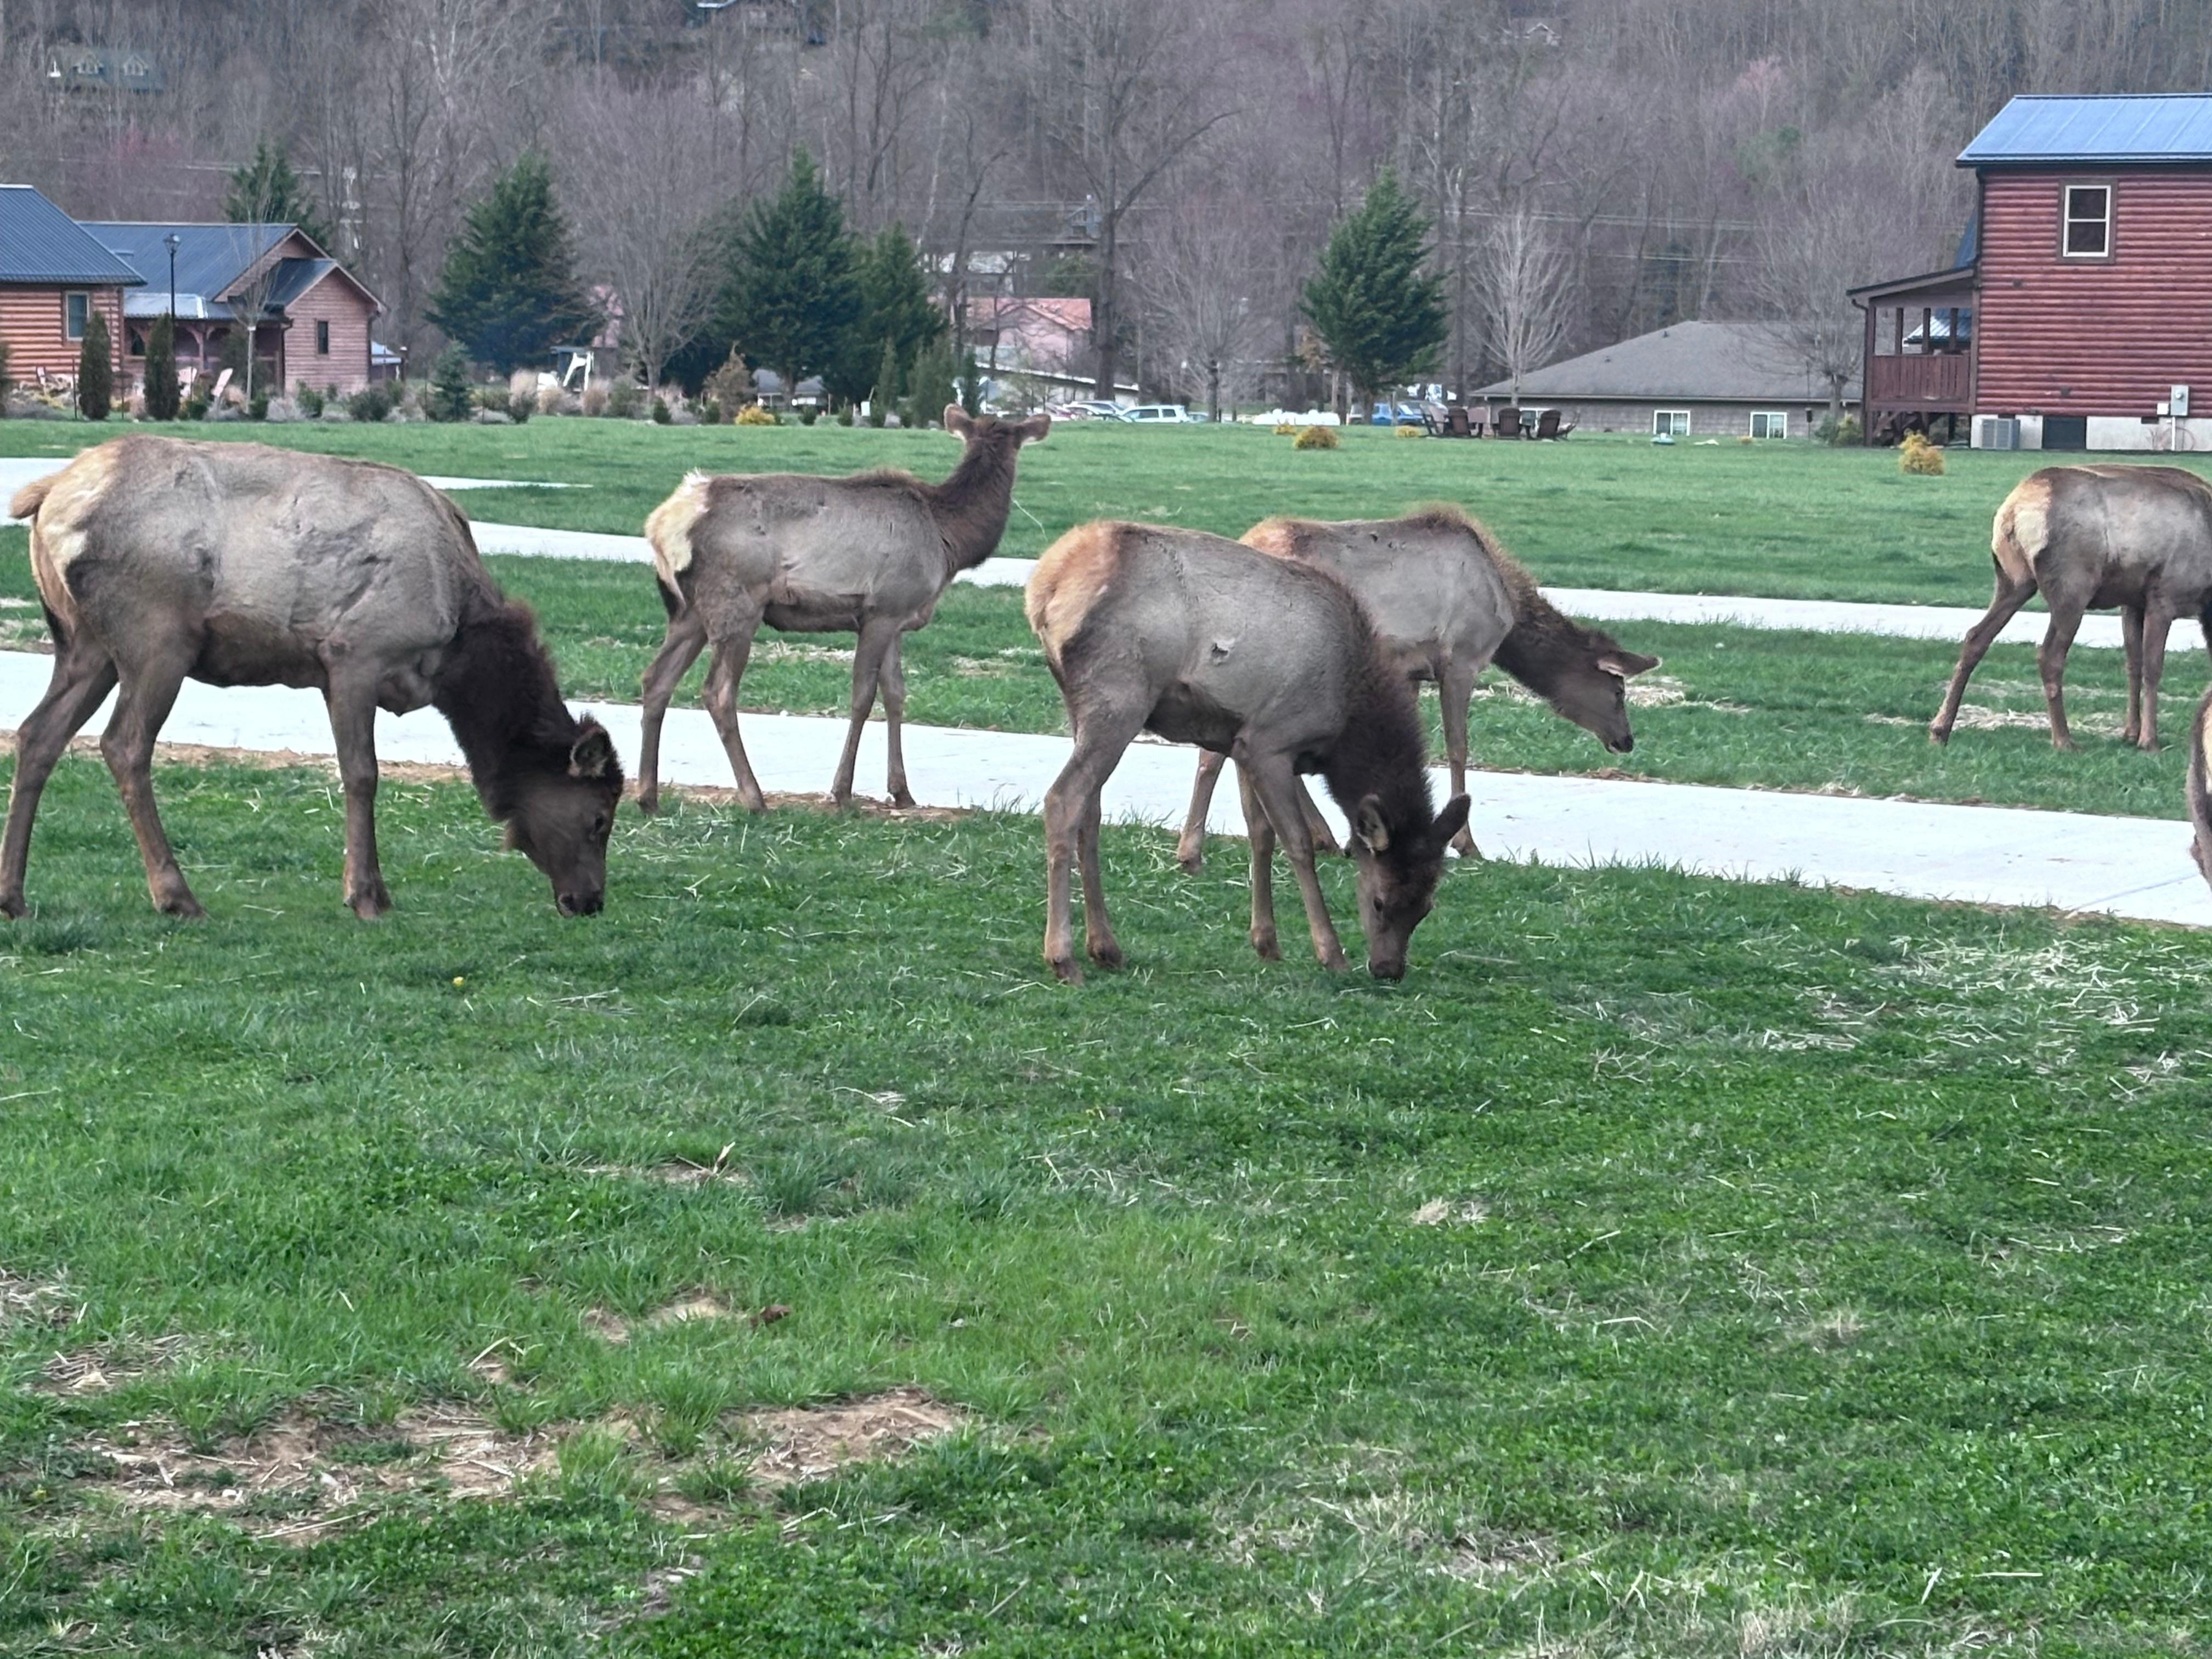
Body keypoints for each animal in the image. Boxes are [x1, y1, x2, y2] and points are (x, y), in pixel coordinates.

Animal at [3, 437, 621, 921]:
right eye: (599, 818)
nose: (589, 901)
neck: (459, 650)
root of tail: (47, 496)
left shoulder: (334, 673)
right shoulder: (356, 654)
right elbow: (362, 774)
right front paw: (366, 896)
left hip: (86, 646)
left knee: (38, 735)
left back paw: (14, 896)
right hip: (158, 638)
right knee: (124, 744)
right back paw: (177, 897)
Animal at [635, 404, 1050, 814]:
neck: (951, 540)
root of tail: (662, 524)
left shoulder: (898, 618)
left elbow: (896, 695)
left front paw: (902, 791)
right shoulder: (882, 610)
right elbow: (863, 697)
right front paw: (842, 792)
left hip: (688, 612)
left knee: (656, 679)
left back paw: (648, 796)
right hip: (737, 602)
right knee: (718, 692)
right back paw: (754, 798)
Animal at [1027, 521, 1471, 984]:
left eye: (1425, 906)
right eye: (1379, 901)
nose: (1388, 968)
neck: (1346, 723)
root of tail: (1045, 589)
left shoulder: (1241, 740)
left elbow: (1259, 833)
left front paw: (1266, 943)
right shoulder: (1271, 742)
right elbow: (1298, 843)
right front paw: (1330, 953)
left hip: (1082, 706)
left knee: (1090, 810)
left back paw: (1105, 947)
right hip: (1121, 698)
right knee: (1063, 799)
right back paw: (1063, 957)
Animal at [1173, 505, 1659, 871]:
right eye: (1619, 690)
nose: (1627, 740)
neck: (1506, 610)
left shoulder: (1408, 672)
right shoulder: (1460, 659)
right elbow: (1458, 748)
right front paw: (1466, 842)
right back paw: (1196, 850)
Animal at [1932, 465, 2212, 752]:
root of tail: (2014, 509)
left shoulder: (2132, 603)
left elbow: (2133, 665)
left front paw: (2131, 734)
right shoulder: (2163, 597)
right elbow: (2152, 668)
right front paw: (2149, 740)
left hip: (2013, 581)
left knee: (1976, 637)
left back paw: (1940, 730)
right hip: (2072, 587)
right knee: (2049, 655)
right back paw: (2064, 739)